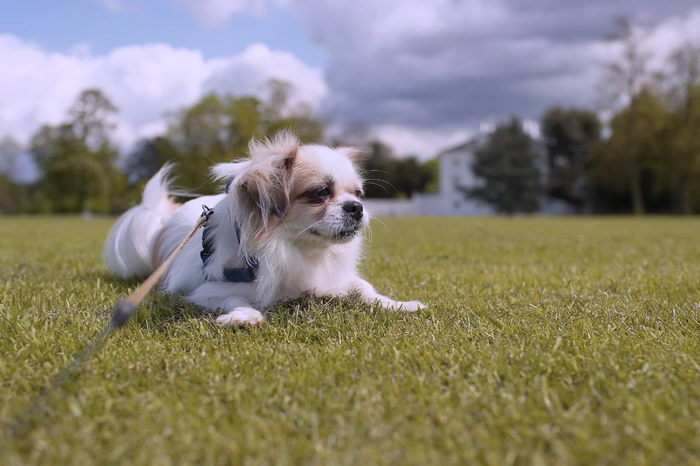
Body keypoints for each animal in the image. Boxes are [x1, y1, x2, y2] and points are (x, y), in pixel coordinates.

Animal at [101, 133, 424, 326]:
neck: (299, 249)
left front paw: (400, 304)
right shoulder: (207, 291)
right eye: (320, 193)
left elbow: (365, 288)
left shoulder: (334, 278)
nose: (356, 208)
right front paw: (244, 316)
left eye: (358, 194)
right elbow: (236, 299)